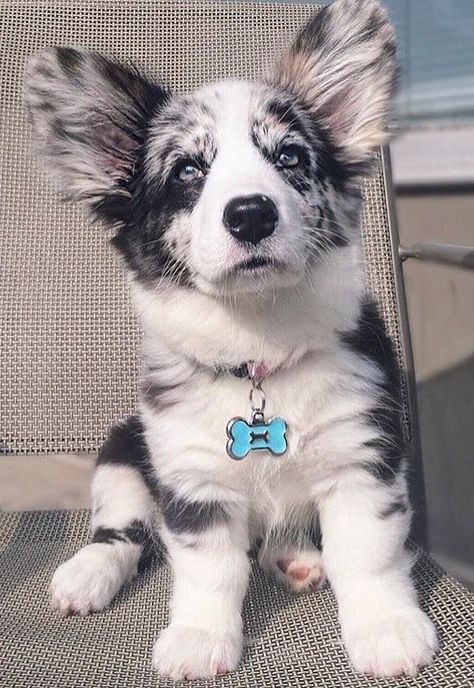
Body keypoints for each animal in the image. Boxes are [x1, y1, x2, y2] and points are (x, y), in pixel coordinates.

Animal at [24, 0, 438, 676]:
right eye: (188, 170)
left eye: (290, 157)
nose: (250, 214)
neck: (259, 351)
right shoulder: (193, 482)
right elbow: (208, 571)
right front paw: (198, 639)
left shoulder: (362, 458)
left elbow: (366, 554)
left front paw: (387, 629)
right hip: (122, 452)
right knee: (123, 530)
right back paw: (87, 574)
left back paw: (295, 558)